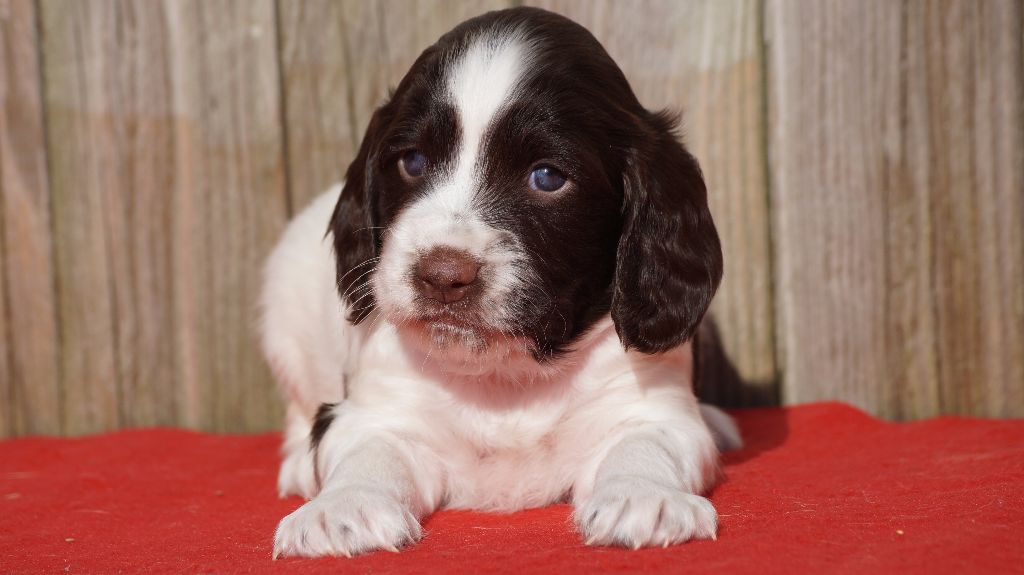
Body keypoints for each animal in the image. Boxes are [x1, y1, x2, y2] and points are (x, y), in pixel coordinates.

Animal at [260, 6, 741, 556]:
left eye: (548, 177)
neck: (503, 376)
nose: (442, 275)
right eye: (412, 161)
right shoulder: (378, 409)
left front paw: (644, 497)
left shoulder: (648, 402)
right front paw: (343, 507)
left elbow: (645, 443)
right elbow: (369, 453)